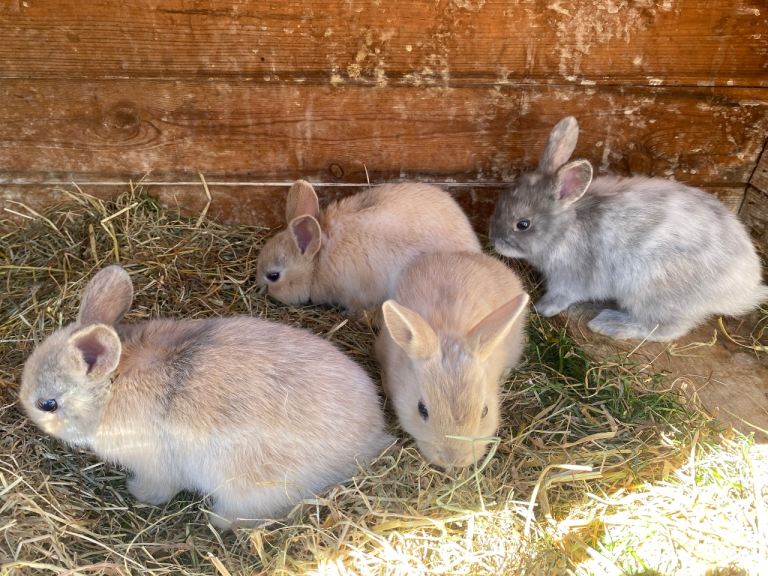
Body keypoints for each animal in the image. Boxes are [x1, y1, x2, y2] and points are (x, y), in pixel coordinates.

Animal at [19, 265, 393, 530]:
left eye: (48, 404)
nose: (26, 409)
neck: (112, 386)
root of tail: (373, 438)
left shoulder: (154, 465)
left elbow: (157, 490)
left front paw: (135, 492)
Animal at [489, 116, 768, 342]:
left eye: (523, 224)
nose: (494, 240)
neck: (565, 228)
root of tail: (744, 288)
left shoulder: (571, 277)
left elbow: (563, 295)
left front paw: (542, 308)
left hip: (654, 293)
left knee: (665, 329)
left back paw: (610, 324)